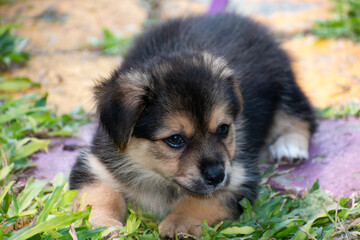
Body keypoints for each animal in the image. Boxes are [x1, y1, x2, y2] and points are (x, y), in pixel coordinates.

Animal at [68, 12, 316, 238]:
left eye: (223, 129)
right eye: (175, 139)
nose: (217, 176)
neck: (155, 176)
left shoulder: (238, 180)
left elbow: (200, 202)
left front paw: (179, 223)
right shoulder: (95, 167)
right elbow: (100, 197)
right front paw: (104, 226)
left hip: (285, 84)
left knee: (301, 115)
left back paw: (290, 145)